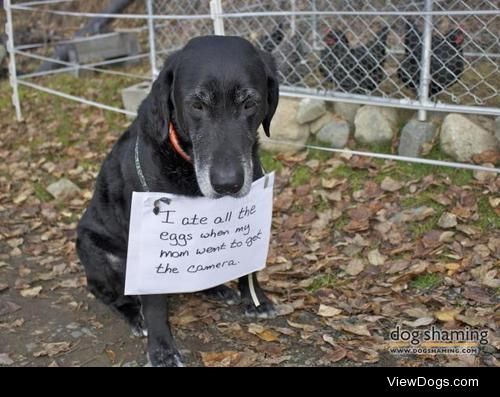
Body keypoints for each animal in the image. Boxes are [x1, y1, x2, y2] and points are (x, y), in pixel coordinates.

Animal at [75, 35, 280, 366]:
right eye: (197, 104)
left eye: (250, 102)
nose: (227, 184)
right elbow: (155, 303)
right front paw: (162, 349)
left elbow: (247, 267)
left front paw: (256, 300)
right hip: (91, 247)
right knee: (109, 294)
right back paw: (135, 316)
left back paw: (215, 289)